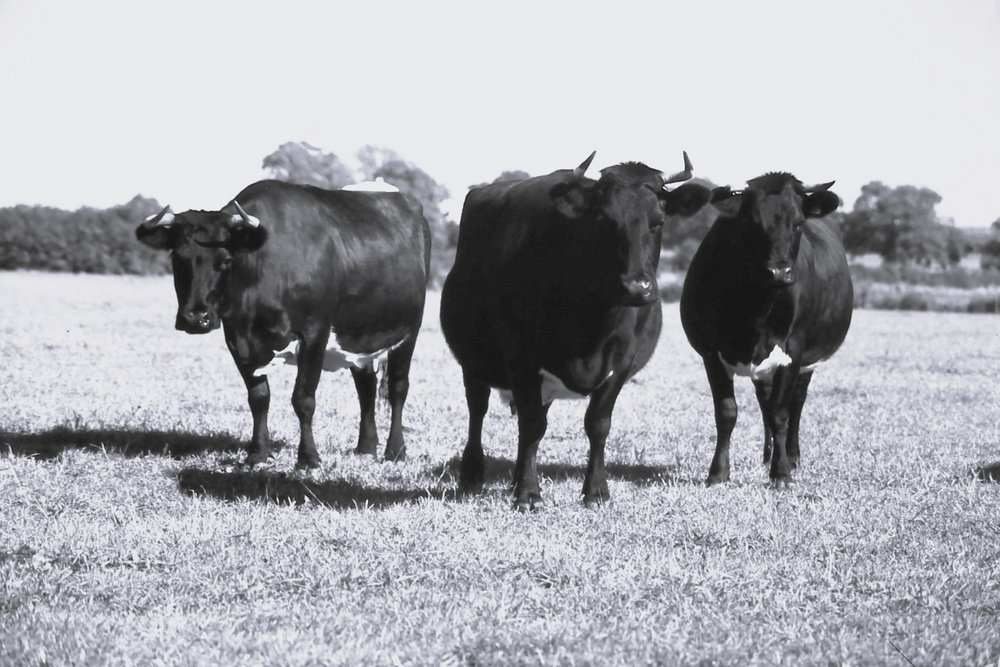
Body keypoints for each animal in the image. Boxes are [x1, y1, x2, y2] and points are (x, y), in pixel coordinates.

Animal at [135, 179, 431, 468]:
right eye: (177, 259)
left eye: (226, 261)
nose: (196, 318)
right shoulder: (238, 339)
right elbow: (258, 398)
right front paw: (258, 453)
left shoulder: (314, 333)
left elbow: (303, 398)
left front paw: (308, 458)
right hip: (360, 337)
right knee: (366, 387)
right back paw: (366, 448)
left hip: (409, 333)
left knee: (398, 388)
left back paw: (395, 451)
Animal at [440, 152, 711, 510]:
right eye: (605, 221)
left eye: (658, 221)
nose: (636, 287)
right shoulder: (521, 360)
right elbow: (531, 426)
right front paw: (528, 494)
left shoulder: (621, 363)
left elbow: (597, 425)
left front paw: (595, 490)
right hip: (474, 361)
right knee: (478, 410)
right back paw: (473, 474)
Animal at [679, 172, 853, 488]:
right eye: (753, 223)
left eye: (798, 223)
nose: (779, 272)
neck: (757, 306)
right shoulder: (712, 353)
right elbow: (727, 412)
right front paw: (718, 472)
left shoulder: (792, 352)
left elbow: (781, 413)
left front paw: (781, 472)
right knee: (764, 399)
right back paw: (767, 454)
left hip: (806, 362)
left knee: (795, 403)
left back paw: (791, 456)